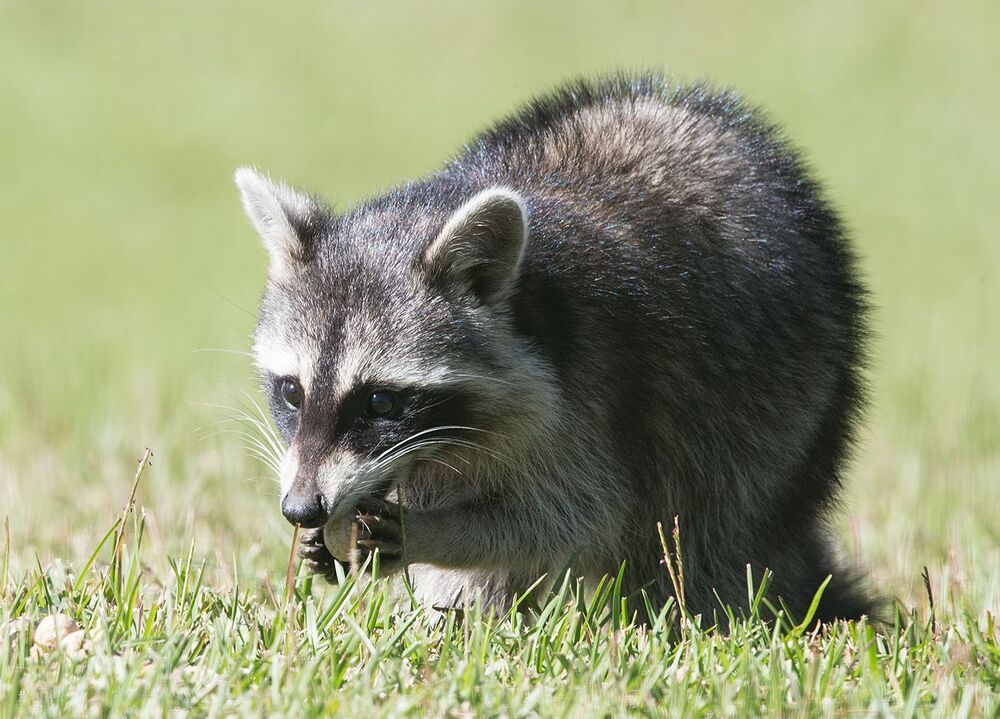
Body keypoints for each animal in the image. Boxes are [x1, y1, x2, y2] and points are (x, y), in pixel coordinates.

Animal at [235, 75, 872, 622]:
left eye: (380, 402)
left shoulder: (594, 385)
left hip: (781, 417)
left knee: (706, 533)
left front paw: (432, 531)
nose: (301, 508)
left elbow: (580, 515)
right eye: (291, 392)